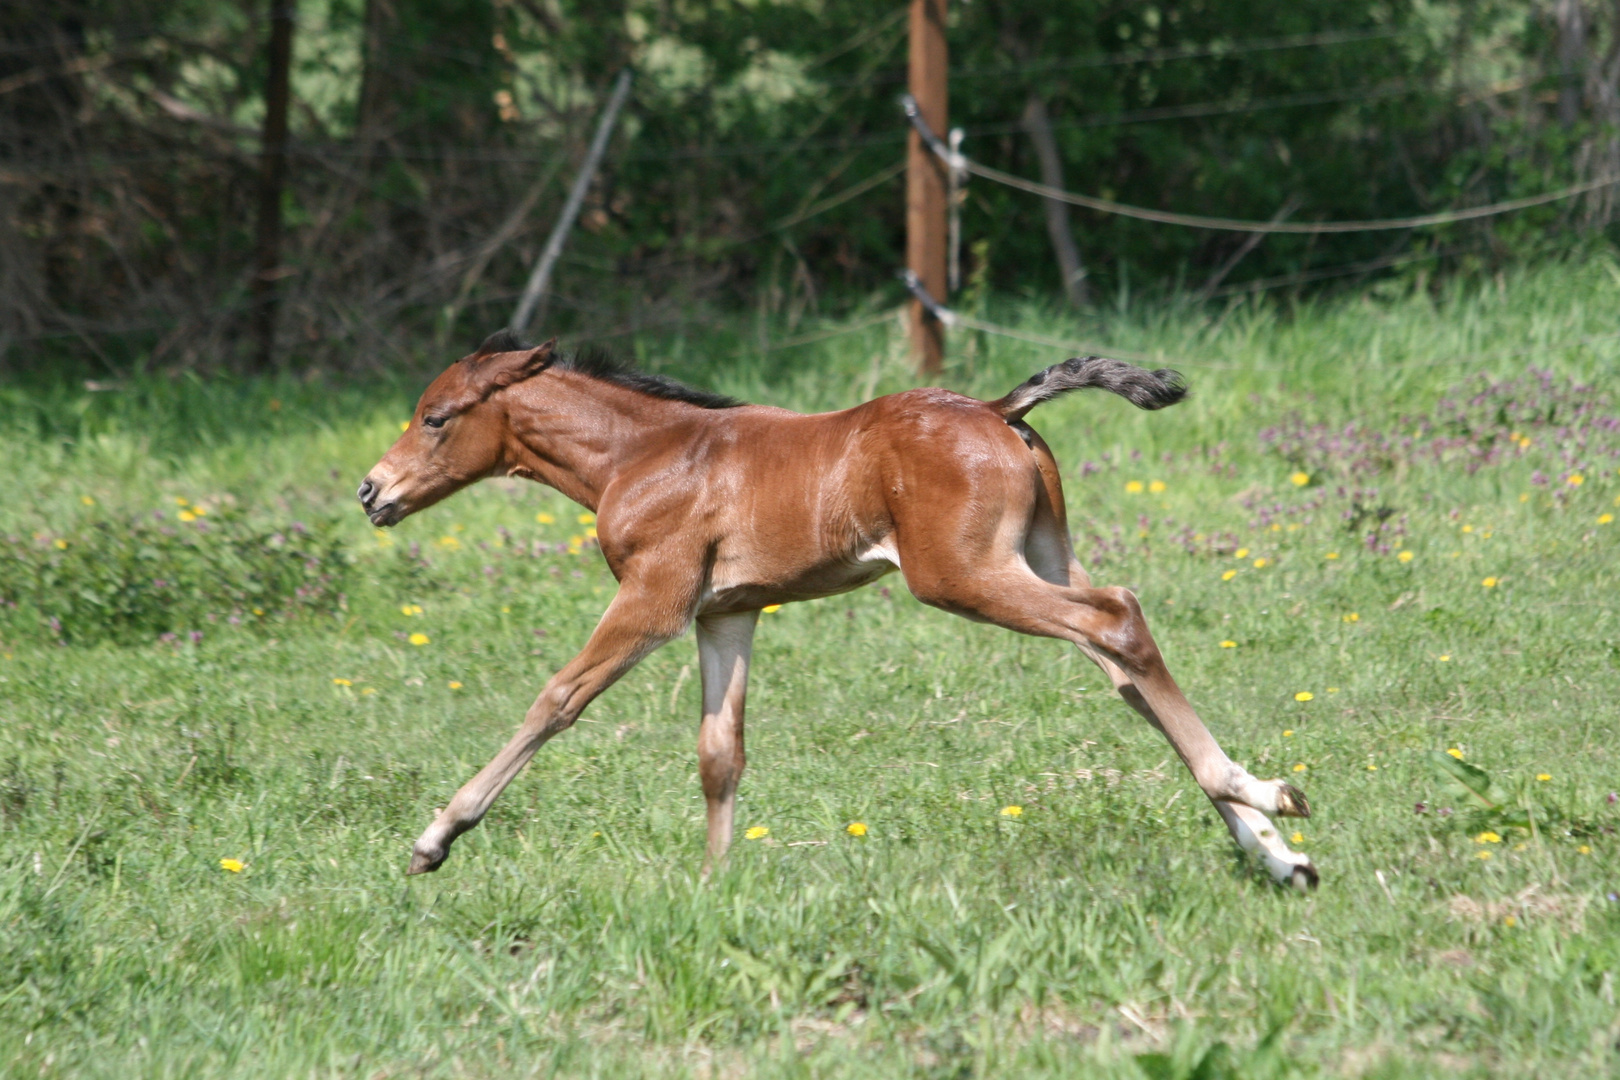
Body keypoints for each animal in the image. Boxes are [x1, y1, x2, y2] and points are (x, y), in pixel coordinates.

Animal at [358, 333, 1315, 893]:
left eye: (436, 417)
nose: (372, 491)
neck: (647, 452)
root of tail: (998, 410)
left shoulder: (654, 600)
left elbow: (557, 698)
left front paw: (436, 838)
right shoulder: (726, 613)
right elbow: (720, 753)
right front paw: (714, 888)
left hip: (961, 576)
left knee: (1116, 618)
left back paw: (1258, 794)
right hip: (1038, 555)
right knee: (1122, 663)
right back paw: (1276, 849)